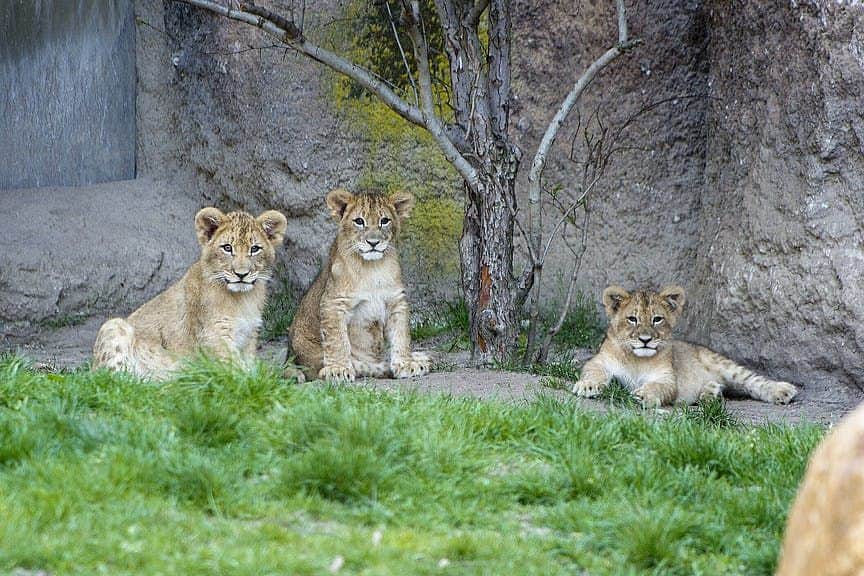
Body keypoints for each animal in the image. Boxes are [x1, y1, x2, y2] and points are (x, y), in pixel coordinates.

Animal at [92, 207, 288, 379]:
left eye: (255, 249)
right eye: (227, 248)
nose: (241, 274)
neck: (243, 298)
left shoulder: (249, 337)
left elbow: (249, 366)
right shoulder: (214, 336)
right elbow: (238, 371)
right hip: (114, 326)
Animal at [288, 189, 429, 381]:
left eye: (384, 221)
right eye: (359, 221)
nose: (373, 242)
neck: (372, 268)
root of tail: (289, 356)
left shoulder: (396, 301)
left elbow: (401, 335)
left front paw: (406, 363)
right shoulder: (334, 303)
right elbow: (338, 341)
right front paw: (338, 370)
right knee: (358, 365)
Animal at [571, 285, 799, 407]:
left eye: (657, 319)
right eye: (632, 319)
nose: (645, 339)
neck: (637, 359)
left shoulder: (667, 378)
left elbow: (658, 386)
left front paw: (644, 395)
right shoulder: (599, 361)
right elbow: (593, 371)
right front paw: (587, 386)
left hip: (723, 364)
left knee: (753, 381)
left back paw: (783, 390)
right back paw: (709, 393)